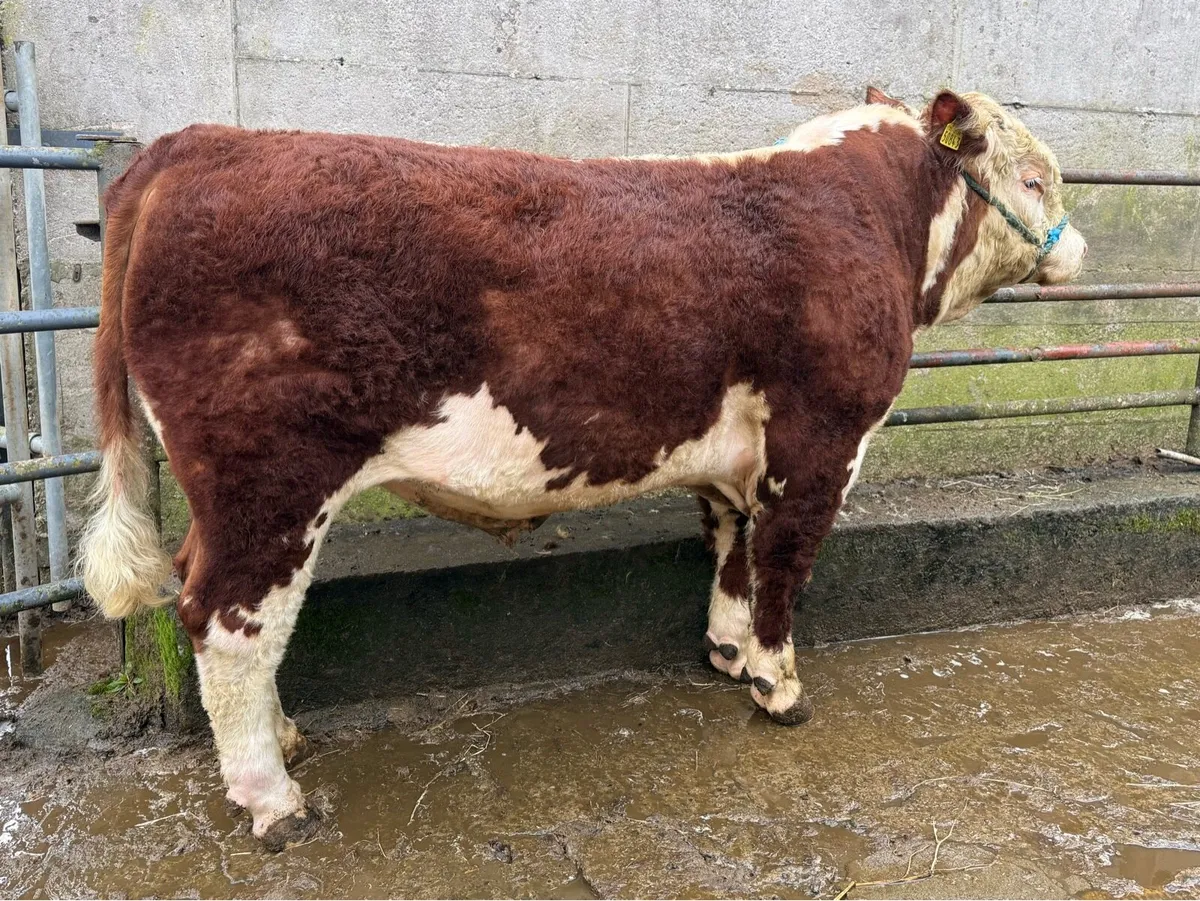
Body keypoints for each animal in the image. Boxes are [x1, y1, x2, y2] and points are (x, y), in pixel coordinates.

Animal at [80, 86, 1086, 849]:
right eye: (1034, 176)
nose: (1078, 247)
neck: (875, 221)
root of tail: (197, 144)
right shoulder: (822, 441)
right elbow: (785, 562)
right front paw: (778, 684)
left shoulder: (733, 454)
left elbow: (732, 544)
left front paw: (726, 651)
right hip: (270, 480)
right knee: (228, 621)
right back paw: (274, 798)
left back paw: (284, 738)